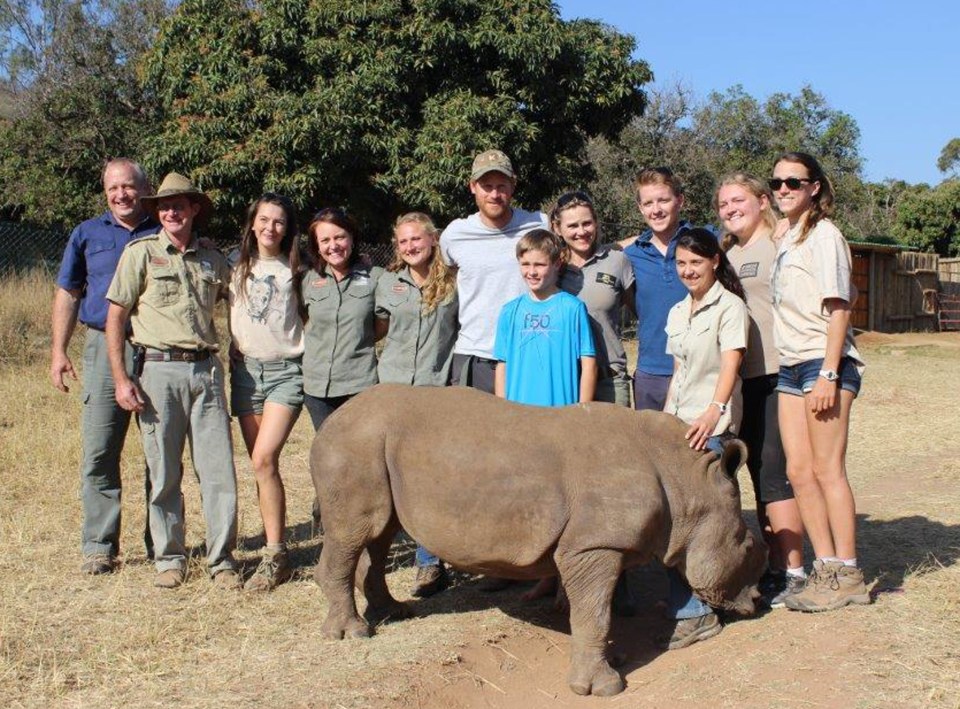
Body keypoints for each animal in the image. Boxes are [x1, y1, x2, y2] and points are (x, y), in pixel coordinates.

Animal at [310, 384, 764, 696]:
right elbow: (595, 612)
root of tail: (332, 419)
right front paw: (604, 688)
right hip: (353, 443)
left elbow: (594, 610)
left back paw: (394, 612)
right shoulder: (594, 545)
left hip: (371, 446)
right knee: (356, 531)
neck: (686, 481)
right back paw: (352, 634)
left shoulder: (598, 542)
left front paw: (611, 659)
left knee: (379, 532)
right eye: (746, 545)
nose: (757, 601)